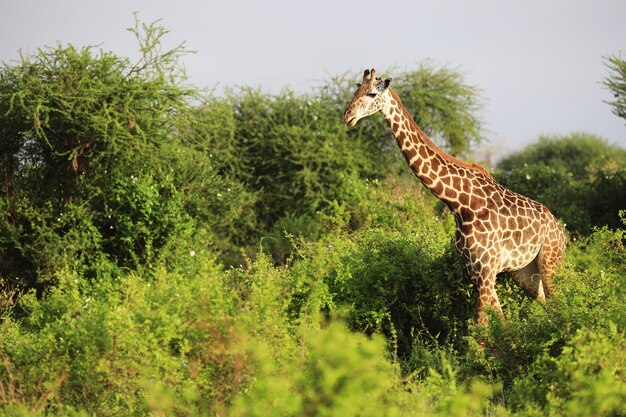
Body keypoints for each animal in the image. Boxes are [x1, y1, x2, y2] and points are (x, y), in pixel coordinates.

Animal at [342, 68, 564, 324]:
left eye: (370, 93)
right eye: (356, 90)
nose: (347, 116)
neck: (459, 203)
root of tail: (560, 229)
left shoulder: (486, 269)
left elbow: (482, 327)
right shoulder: (476, 271)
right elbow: (500, 322)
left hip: (551, 263)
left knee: (559, 302)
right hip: (525, 272)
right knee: (545, 303)